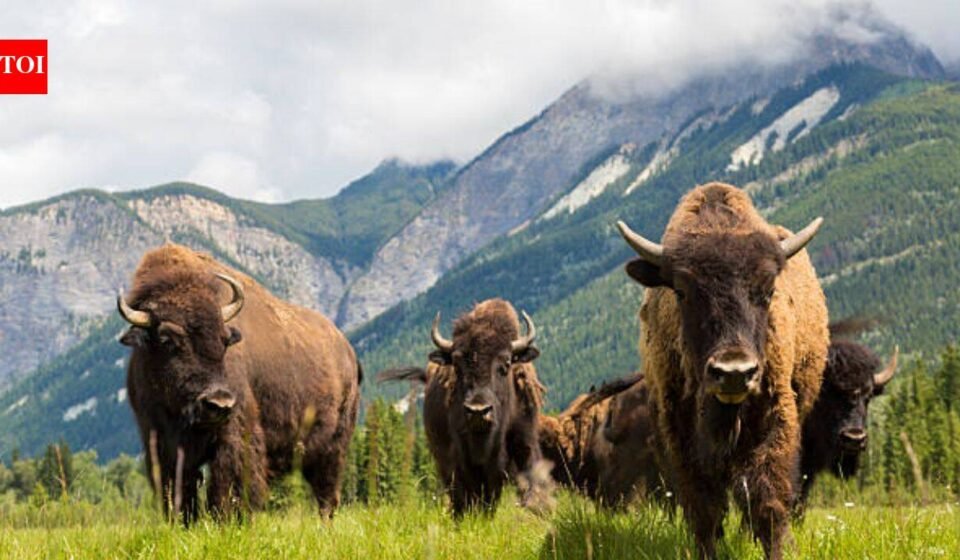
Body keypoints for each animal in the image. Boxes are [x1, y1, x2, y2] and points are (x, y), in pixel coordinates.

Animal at [118, 244, 361, 522]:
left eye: (224, 340)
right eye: (167, 339)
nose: (218, 402)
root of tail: (348, 351)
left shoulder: (233, 433)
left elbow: (228, 483)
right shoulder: (161, 441)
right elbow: (179, 489)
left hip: (333, 447)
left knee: (326, 493)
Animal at [617, 182, 828, 559]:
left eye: (768, 290)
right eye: (682, 291)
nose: (734, 371)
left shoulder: (774, 419)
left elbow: (768, 501)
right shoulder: (681, 433)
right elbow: (705, 509)